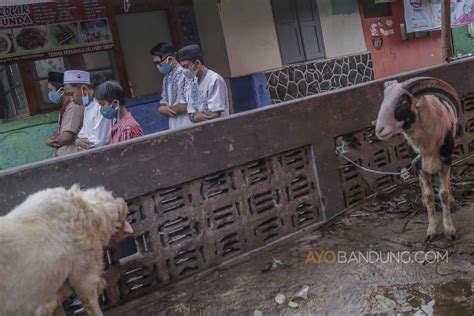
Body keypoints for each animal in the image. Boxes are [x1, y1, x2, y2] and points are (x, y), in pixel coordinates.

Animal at [374, 76, 460, 239]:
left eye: (403, 102)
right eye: (383, 100)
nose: (379, 130)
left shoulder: (445, 162)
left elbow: (443, 194)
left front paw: (449, 230)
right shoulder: (420, 165)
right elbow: (428, 195)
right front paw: (431, 231)